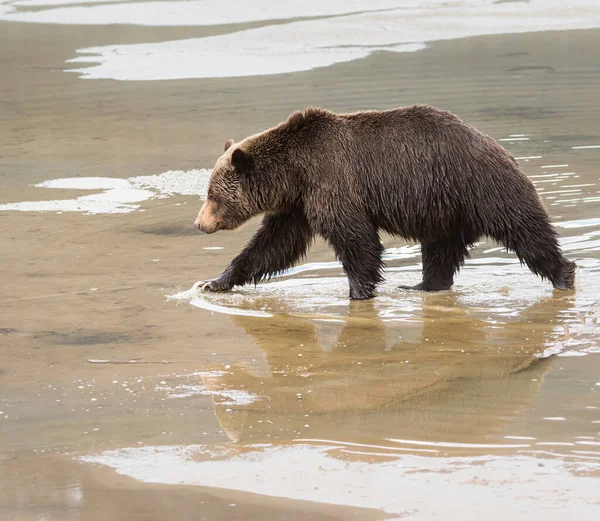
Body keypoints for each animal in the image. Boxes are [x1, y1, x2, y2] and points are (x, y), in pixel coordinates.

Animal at [193, 104, 576, 300]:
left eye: (212, 194)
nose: (199, 223)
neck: (293, 172)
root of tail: (502, 148)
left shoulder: (331, 180)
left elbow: (355, 238)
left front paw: (358, 291)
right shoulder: (298, 205)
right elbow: (273, 245)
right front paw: (214, 281)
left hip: (479, 187)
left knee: (524, 230)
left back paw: (564, 273)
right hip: (444, 210)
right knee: (440, 250)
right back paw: (423, 284)